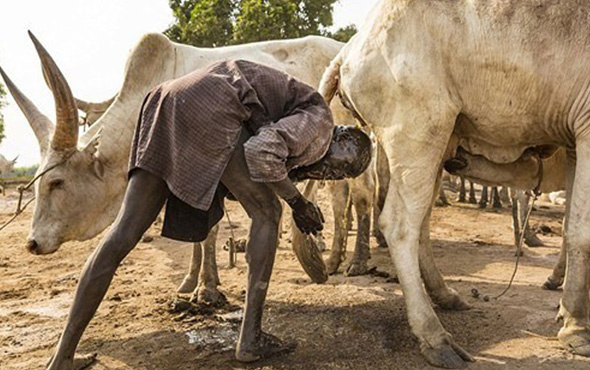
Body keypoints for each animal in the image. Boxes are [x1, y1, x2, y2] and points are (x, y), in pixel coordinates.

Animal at [322, 0, 590, 368]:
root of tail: (350, 49)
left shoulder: (574, 137)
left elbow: (570, 228)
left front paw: (569, 316)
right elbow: (582, 231)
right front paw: (577, 329)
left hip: (438, 141)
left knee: (420, 222)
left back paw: (446, 297)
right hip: (418, 128)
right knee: (400, 224)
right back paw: (436, 338)